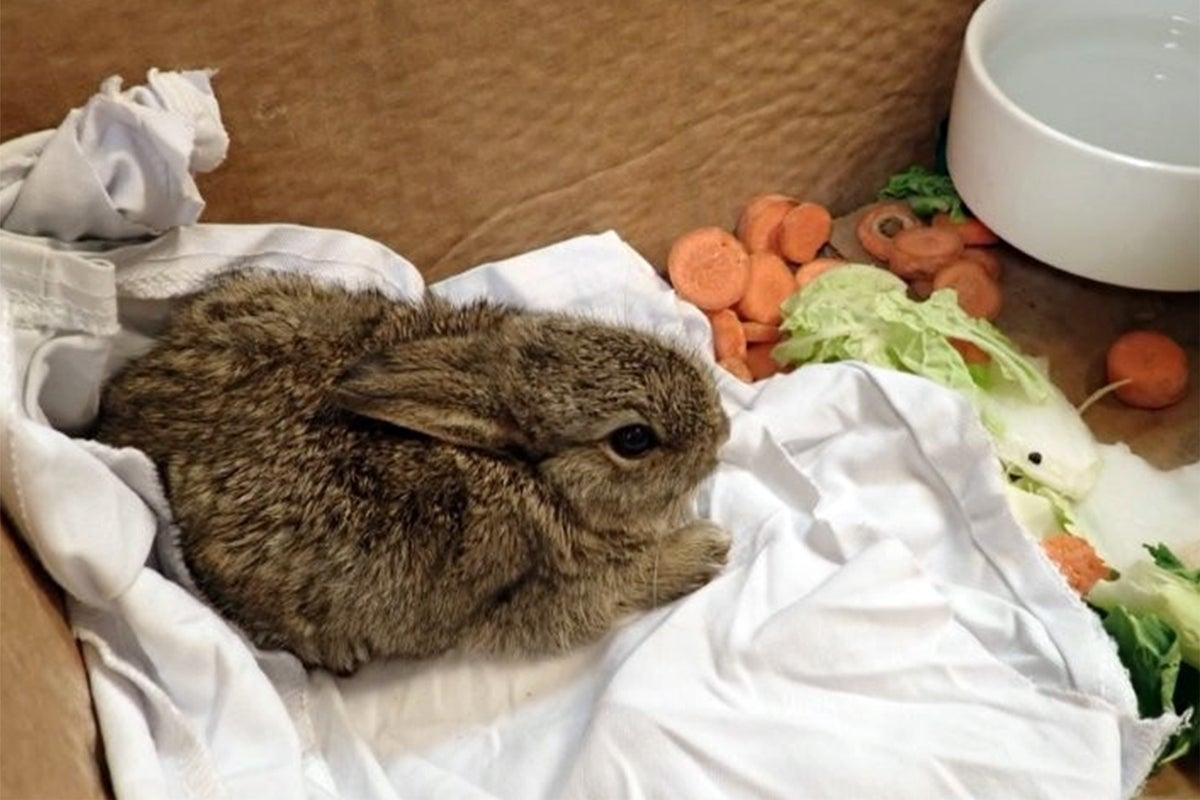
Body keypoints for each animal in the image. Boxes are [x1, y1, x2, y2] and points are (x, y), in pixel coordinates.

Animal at [95, 270, 731, 674]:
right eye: (633, 440)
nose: (723, 431)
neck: (530, 475)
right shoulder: (535, 598)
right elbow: (617, 587)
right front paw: (707, 550)